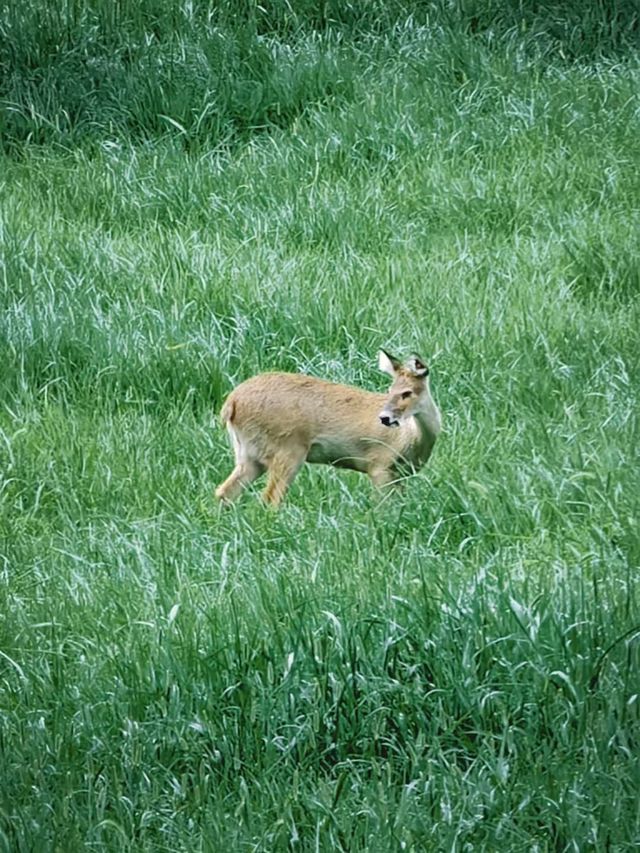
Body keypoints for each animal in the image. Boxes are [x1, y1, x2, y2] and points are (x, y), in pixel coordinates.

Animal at [215, 352, 440, 506]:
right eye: (390, 390)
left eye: (407, 392)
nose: (384, 418)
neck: (411, 439)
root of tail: (231, 404)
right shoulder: (379, 466)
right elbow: (383, 507)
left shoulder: (400, 475)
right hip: (287, 449)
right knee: (270, 498)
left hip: (249, 454)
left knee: (223, 492)